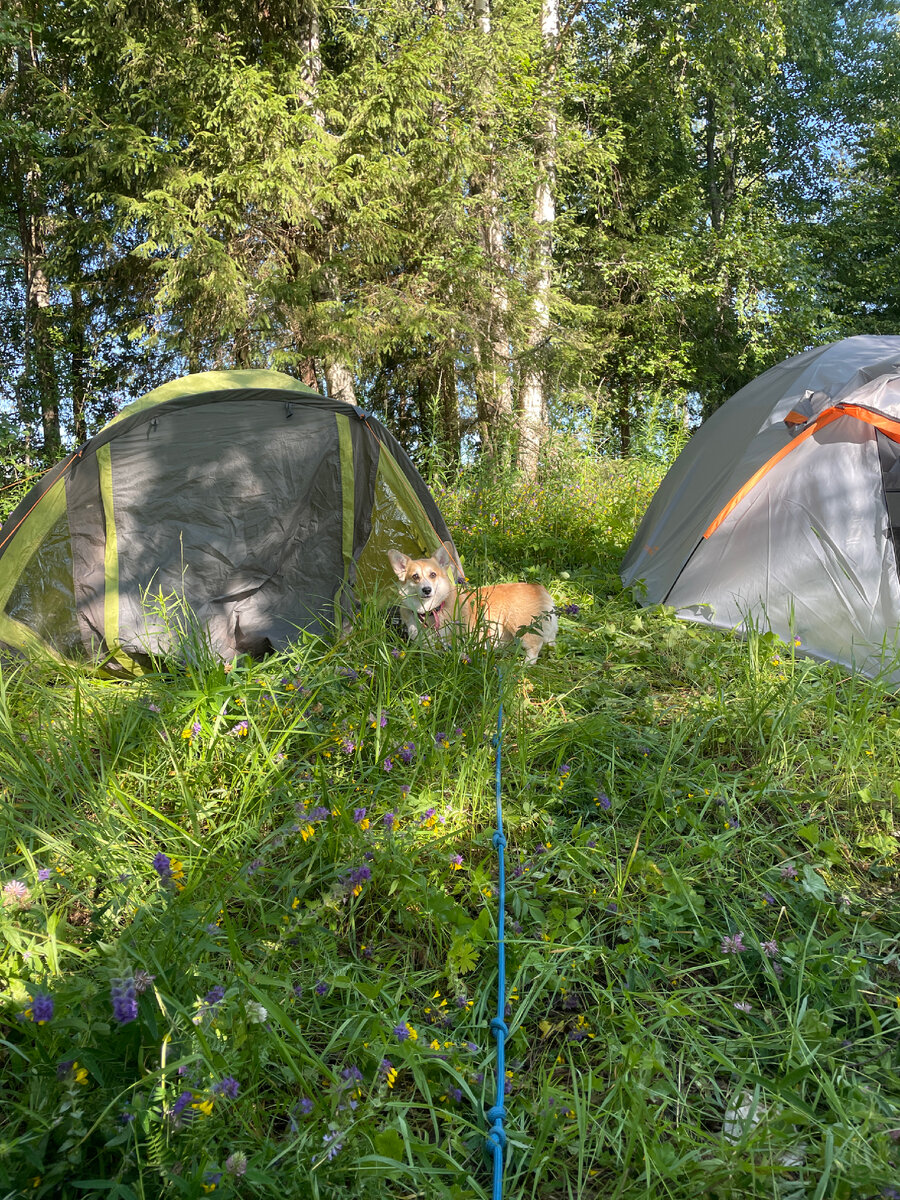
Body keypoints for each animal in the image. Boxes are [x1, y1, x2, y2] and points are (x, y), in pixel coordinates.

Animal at [386, 547, 556, 667]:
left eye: (433, 575)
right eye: (415, 576)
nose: (427, 590)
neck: (430, 611)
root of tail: (539, 588)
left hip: (522, 628)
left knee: (534, 648)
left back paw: (523, 665)